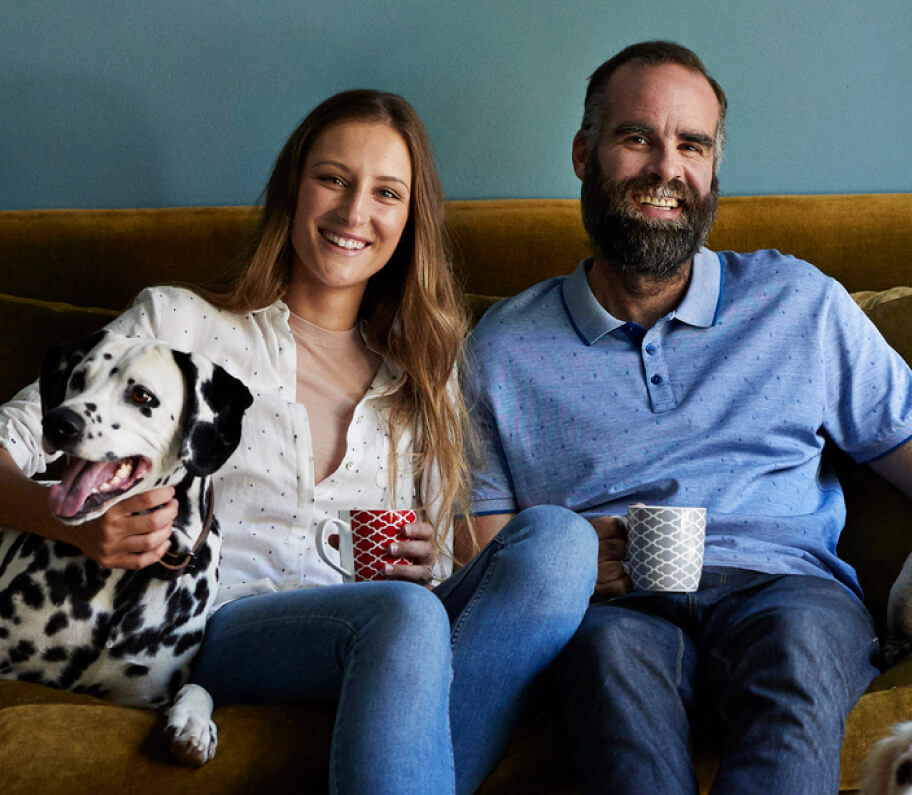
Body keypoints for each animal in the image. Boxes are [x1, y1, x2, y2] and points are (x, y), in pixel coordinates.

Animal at [0, 330, 251, 764]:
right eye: (78, 378)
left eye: (141, 396)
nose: (59, 422)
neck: (125, 580)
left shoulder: (141, 694)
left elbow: (198, 688)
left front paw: (194, 723)